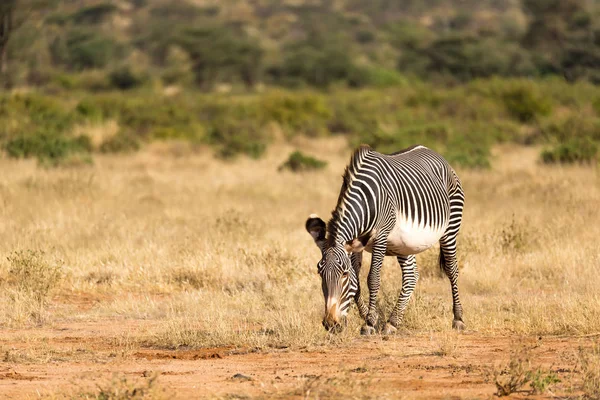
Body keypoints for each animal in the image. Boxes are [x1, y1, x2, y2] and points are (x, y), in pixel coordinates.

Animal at [304, 144, 464, 334]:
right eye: (320, 273)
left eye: (344, 274)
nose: (331, 324)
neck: (366, 200)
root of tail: (433, 152)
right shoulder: (356, 242)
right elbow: (357, 282)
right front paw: (368, 316)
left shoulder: (381, 236)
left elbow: (372, 278)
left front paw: (369, 323)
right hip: (404, 243)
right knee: (411, 275)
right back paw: (392, 322)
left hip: (450, 227)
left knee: (452, 269)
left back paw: (458, 319)